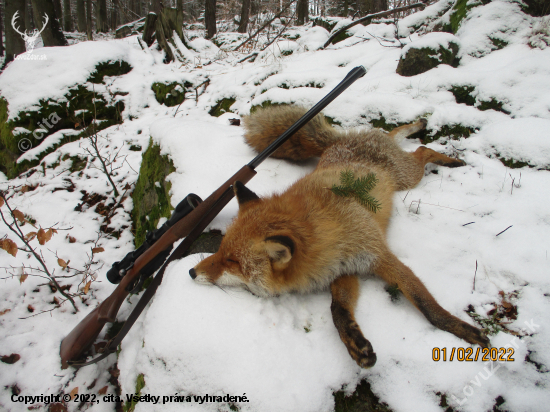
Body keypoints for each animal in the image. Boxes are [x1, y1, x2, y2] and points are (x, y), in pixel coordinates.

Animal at [191, 105, 492, 366]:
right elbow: (338, 309)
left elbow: (425, 303)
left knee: (421, 149)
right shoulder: (344, 269)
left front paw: (459, 329)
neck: (320, 227)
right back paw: (419, 128)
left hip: (409, 177)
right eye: (220, 250)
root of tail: (346, 139)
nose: (192, 272)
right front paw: (355, 343)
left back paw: (447, 156)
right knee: (399, 136)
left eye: (232, 262)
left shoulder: (379, 254)